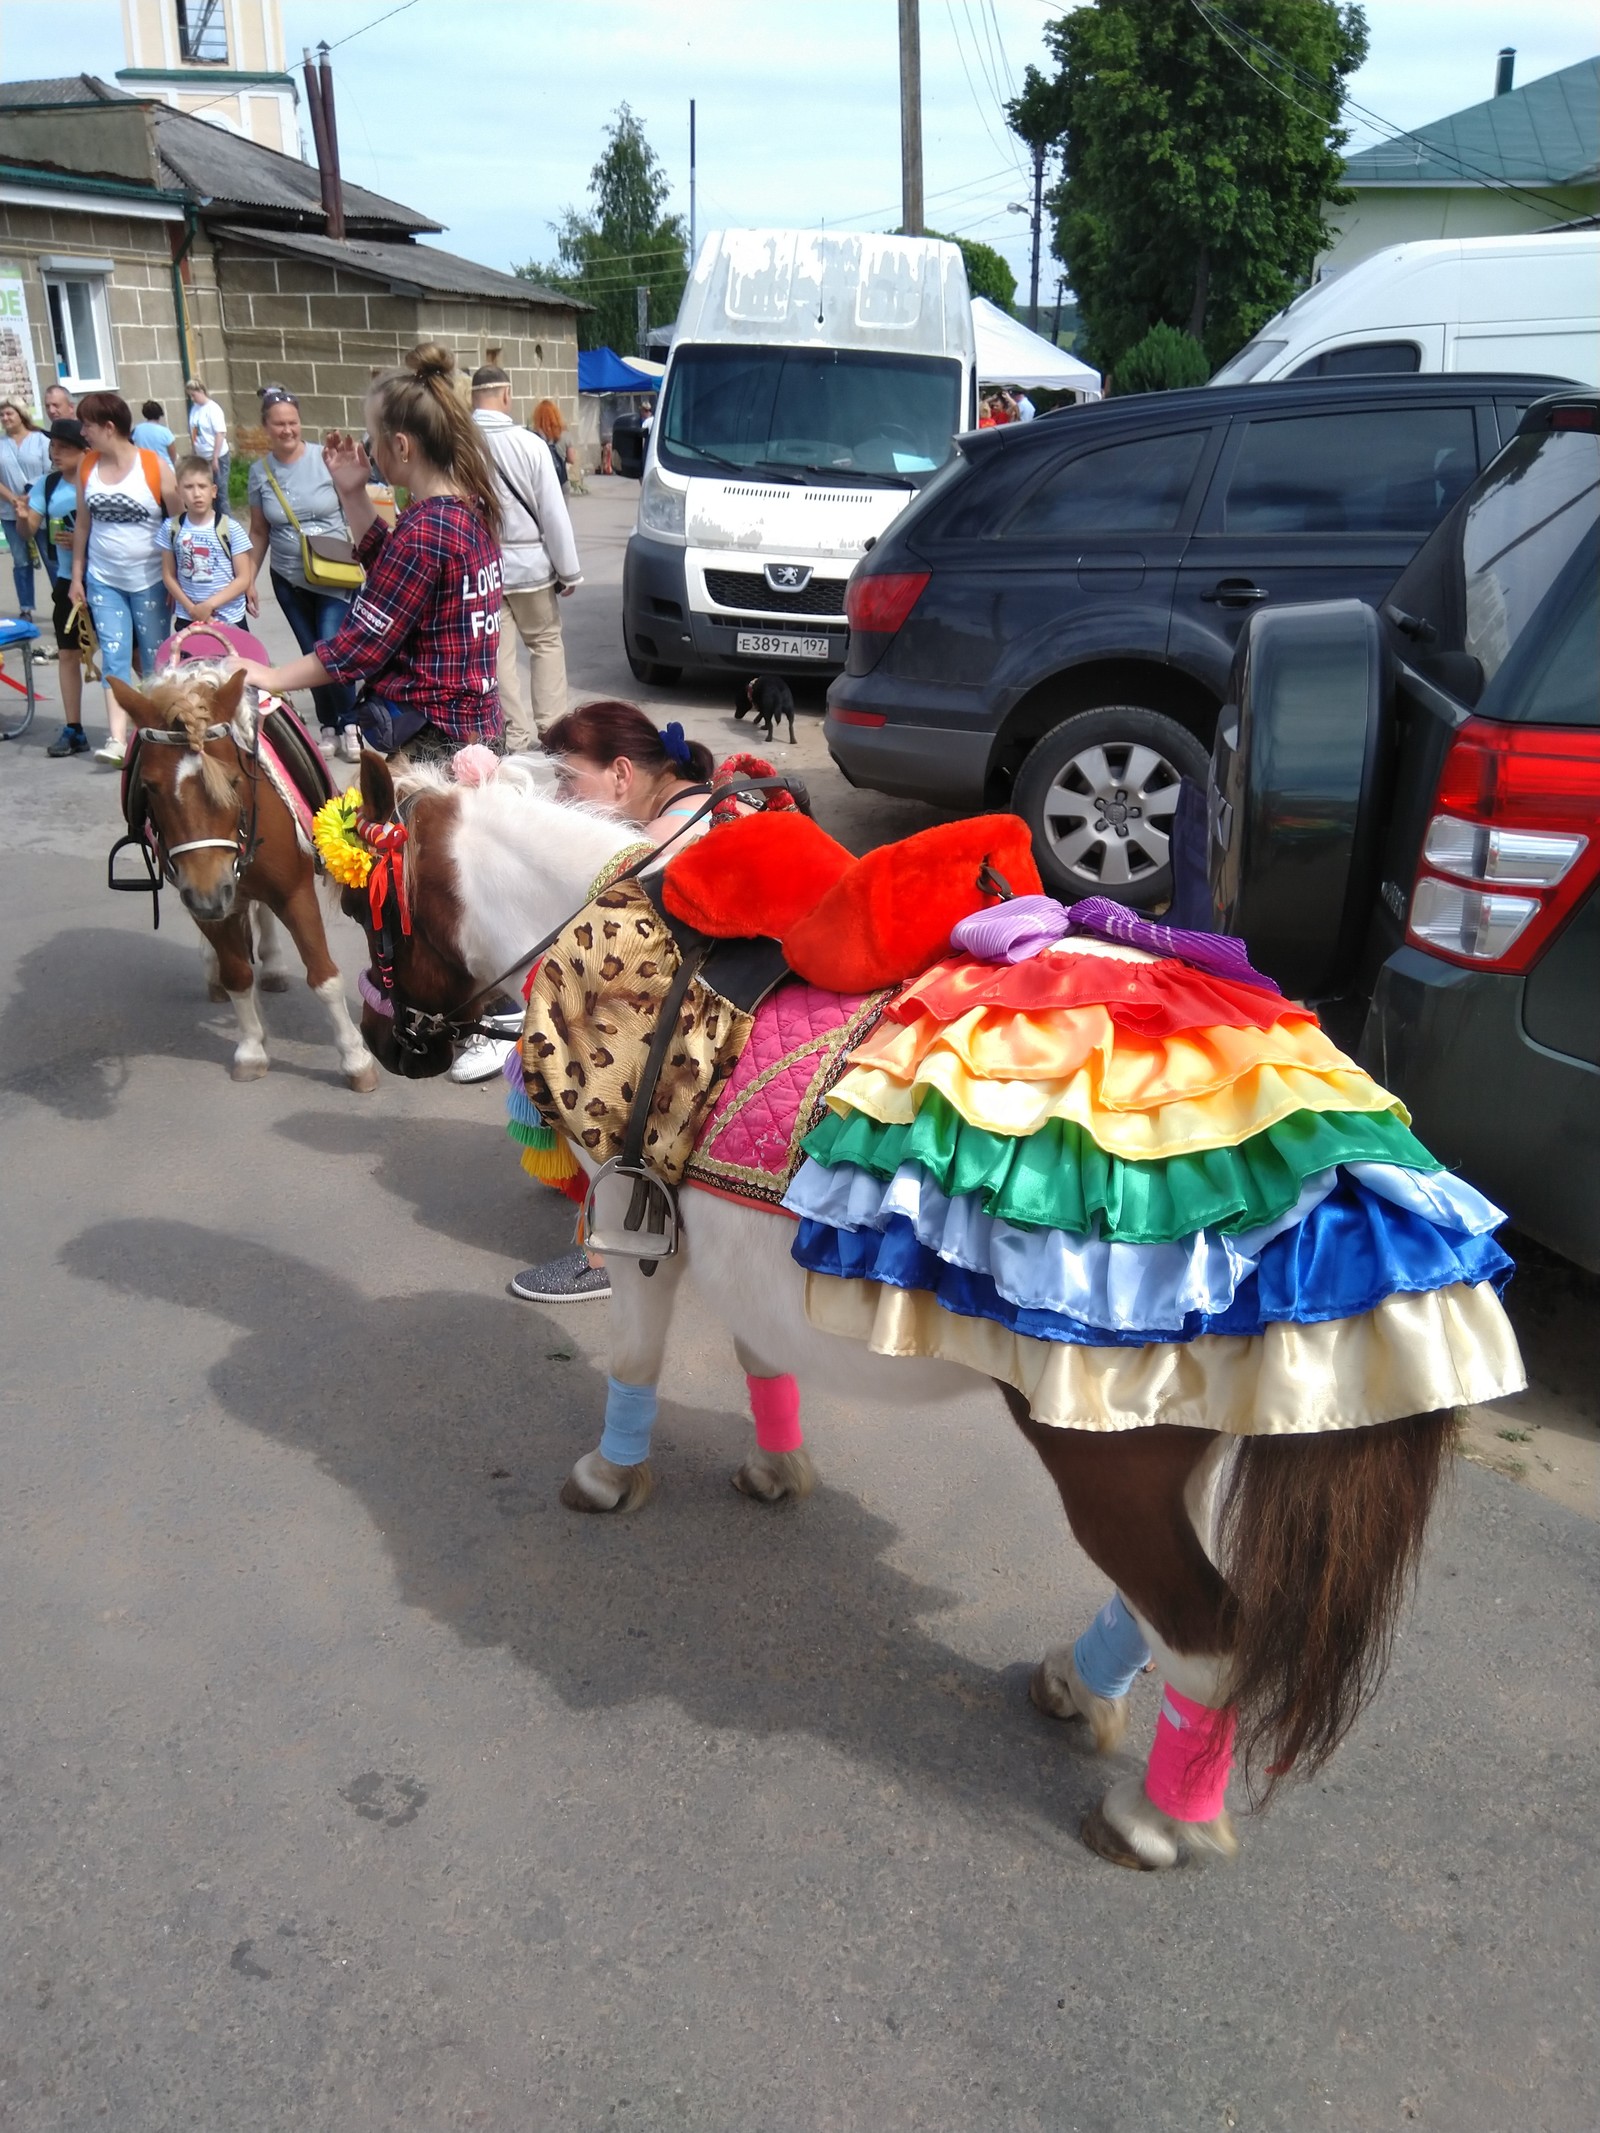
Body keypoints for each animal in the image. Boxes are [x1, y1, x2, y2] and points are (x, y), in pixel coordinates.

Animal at [109, 661, 379, 1100]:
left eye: (234, 780)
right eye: (148, 786)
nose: (207, 895)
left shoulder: (293, 893)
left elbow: (323, 976)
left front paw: (356, 1059)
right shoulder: (205, 897)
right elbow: (237, 975)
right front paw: (252, 1049)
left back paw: (272, 965)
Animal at [347, 750, 1467, 1868]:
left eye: (370, 911)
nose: (385, 1044)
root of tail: (1354, 1167)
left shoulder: (633, 1230)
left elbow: (632, 1362)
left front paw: (609, 1478)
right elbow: (763, 1360)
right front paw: (774, 1469)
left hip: (1106, 1451)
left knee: (1206, 1640)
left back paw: (1154, 1820)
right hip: (1191, 1430)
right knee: (1157, 1602)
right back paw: (1076, 1684)